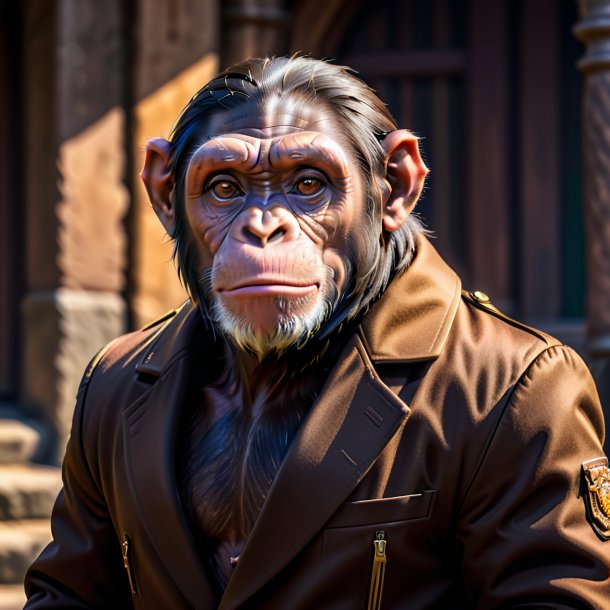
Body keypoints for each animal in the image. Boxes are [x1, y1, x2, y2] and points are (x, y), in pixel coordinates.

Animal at [23, 54, 608, 604]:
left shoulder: (539, 411)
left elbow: (543, 581)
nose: (263, 229)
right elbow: (66, 579)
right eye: (224, 188)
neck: (268, 374)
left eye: (308, 183)